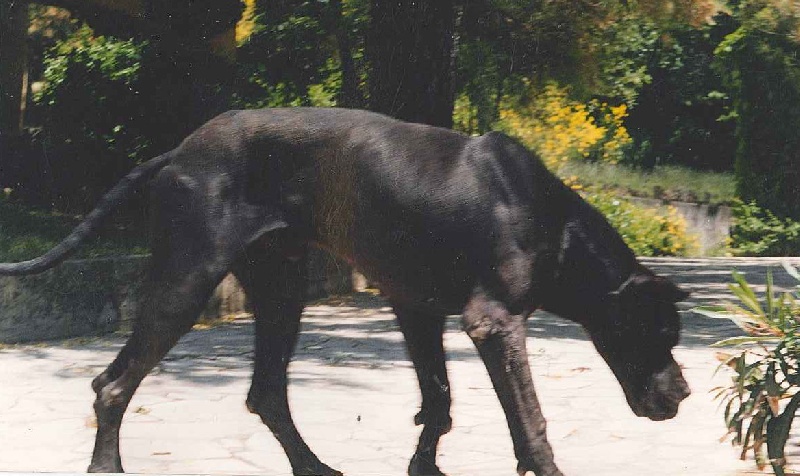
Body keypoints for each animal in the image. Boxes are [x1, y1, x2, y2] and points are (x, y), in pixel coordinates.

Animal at [0, 109, 688, 476]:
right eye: (660, 332)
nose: (682, 392)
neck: (554, 221)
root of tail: (179, 151)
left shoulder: (417, 309)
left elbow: (438, 400)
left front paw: (423, 467)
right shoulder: (494, 323)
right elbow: (530, 421)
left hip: (282, 288)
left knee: (266, 393)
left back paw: (312, 465)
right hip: (185, 281)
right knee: (112, 384)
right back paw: (106, 465)